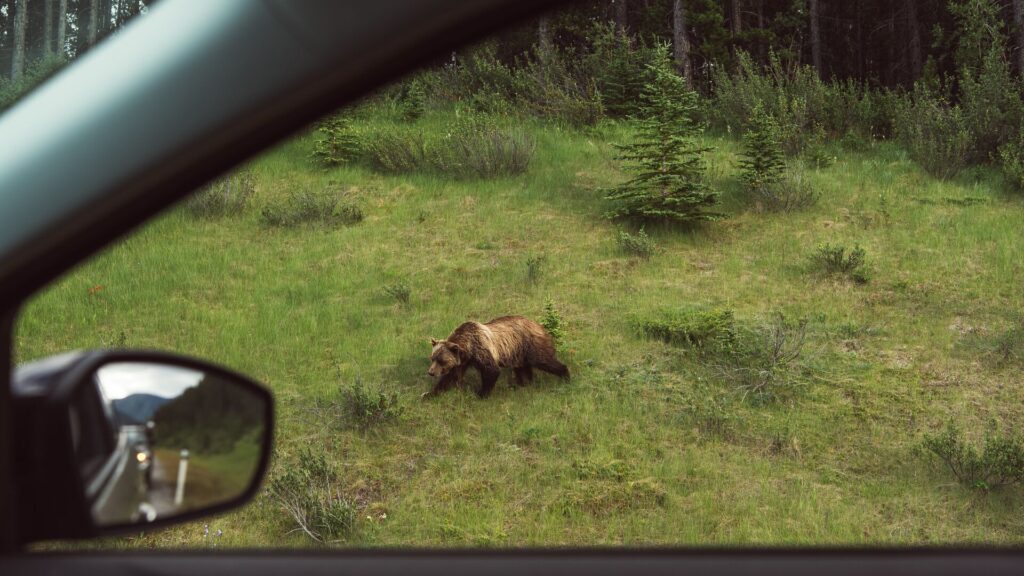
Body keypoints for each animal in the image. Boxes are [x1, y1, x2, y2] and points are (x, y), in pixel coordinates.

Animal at [424, 315, 569, 398]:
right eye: (432, 358)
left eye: (441, 360)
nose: (431, 372)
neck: (468, 348)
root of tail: (539, 325)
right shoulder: (462, 361)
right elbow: (450, 378)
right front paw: (429, 394)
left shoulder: (481, 349)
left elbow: (491, 370)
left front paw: (481, 394)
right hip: (519, 353)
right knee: (523, 369)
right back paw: (524, 384)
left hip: (532, 345)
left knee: (545, 361)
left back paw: (565, 375)